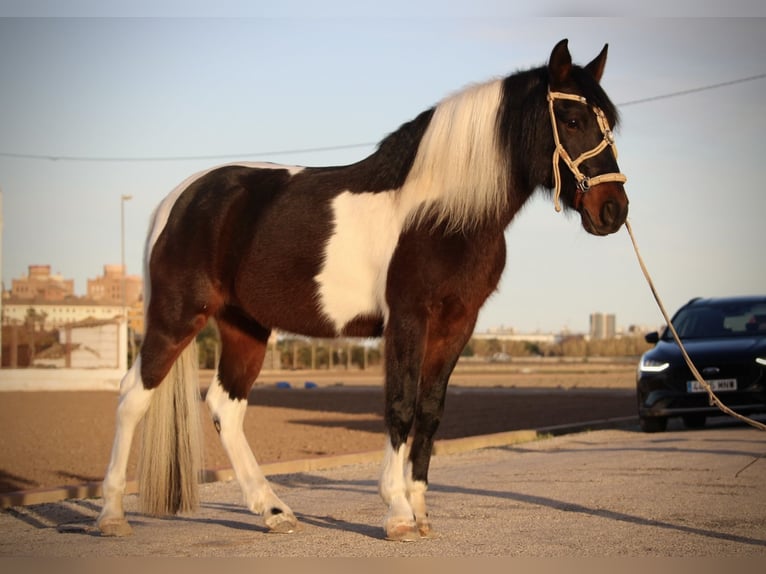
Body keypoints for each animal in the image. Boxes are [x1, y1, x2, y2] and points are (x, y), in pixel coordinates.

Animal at [96, 38, 632, 544]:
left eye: (609, 123)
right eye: (573, 118)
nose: (613, 210)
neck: (442, 214)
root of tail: (180, 198)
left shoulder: (457, 324)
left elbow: (430, 411)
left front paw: (420, 511)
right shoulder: (407, 318)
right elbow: (400, 405)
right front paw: (396, 513)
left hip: (245, 326)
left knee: (225, 408)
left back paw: (274, 512)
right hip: (177, 315)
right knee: (132, 397)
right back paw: (112, 515)